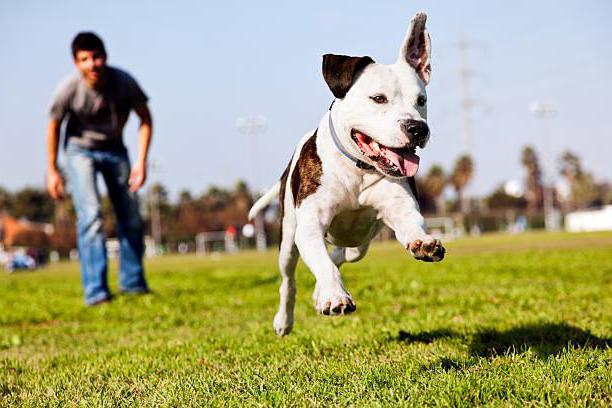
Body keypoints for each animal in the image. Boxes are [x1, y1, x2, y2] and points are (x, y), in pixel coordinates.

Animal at [249, 13, 444, 338]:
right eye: (378, 98)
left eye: (421, 100)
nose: (417, 128)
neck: (358, 169)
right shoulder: (310, 225)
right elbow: (321, 262)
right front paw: (334, 296)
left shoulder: (399, 206)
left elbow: (410, 223)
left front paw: (423, 243)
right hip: (288, 239)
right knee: (290, 279)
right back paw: (285, 319)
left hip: (360, 243)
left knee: (342, 256)